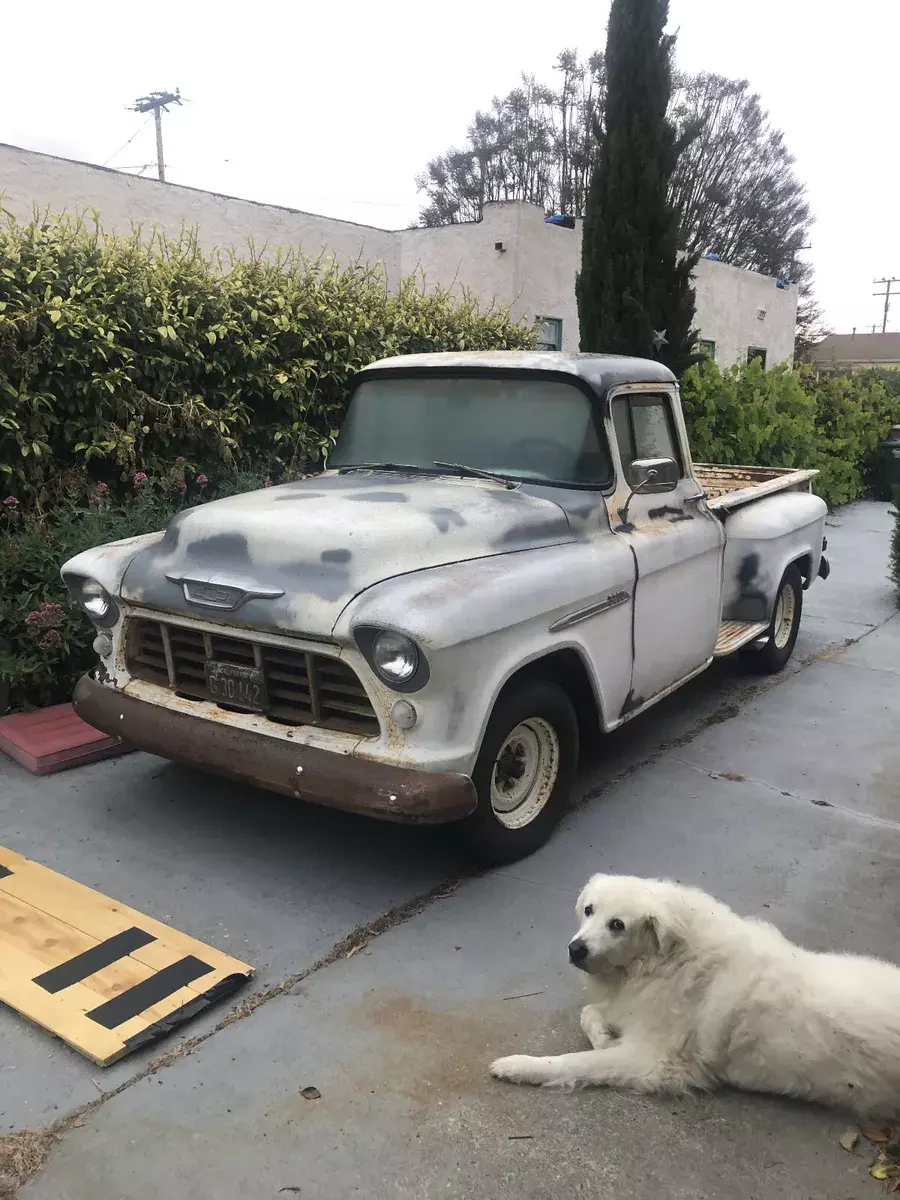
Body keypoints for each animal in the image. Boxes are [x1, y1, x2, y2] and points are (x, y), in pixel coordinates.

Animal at [494, 873, 900, 1113]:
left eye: (618, 925)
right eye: (589, 910)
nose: (575, 949)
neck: (665, 961)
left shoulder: (654, 1061)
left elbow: (575, 1062)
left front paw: (520, 1066)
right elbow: (590, 1014)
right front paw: (606, 1036)